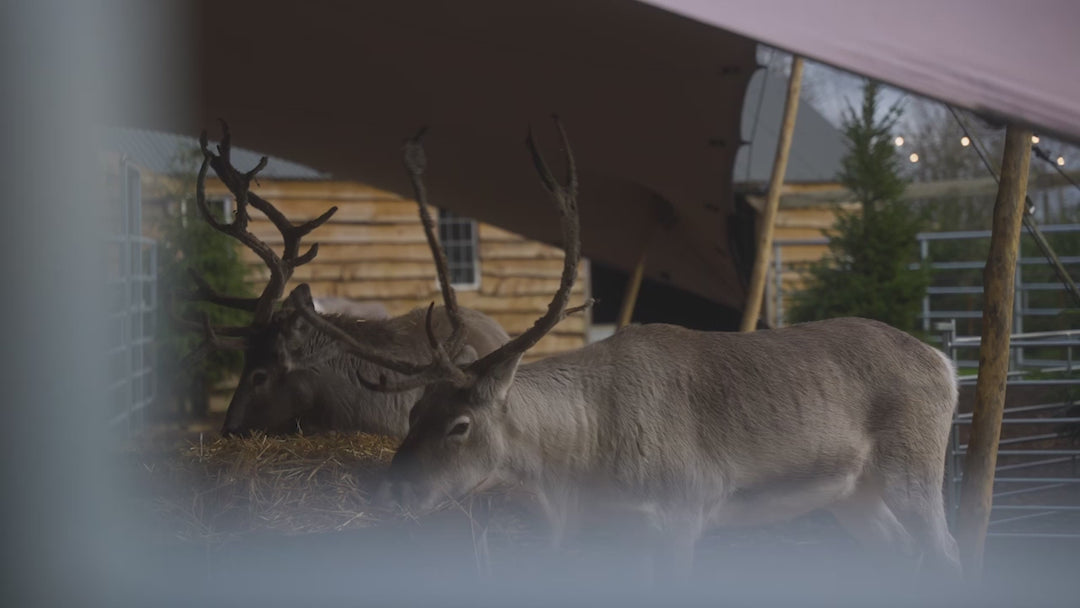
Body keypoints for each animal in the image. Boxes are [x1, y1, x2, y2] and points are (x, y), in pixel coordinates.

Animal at [302, 117, 962, 582]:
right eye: (413, 412)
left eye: (460, 424)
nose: (390, 491)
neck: (584, 465)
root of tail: (946, 363)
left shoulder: (682, 513)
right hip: (853, 494)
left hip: (914, 468)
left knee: (949, 552)